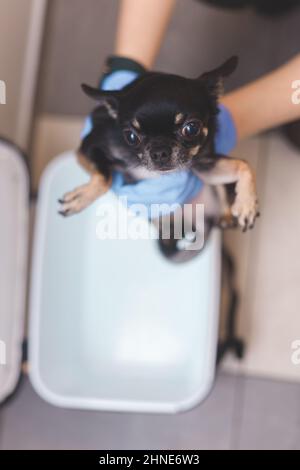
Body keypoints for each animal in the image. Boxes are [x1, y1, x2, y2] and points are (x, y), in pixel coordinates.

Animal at [58, 57, 258, 233]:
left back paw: (225, 215)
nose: (159, 152)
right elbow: (104, 177)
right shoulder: (88, 147)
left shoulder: (203, 166)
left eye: (191, 128)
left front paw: (247, 204)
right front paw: (82, 197)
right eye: (131, 136)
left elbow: (244, 165)